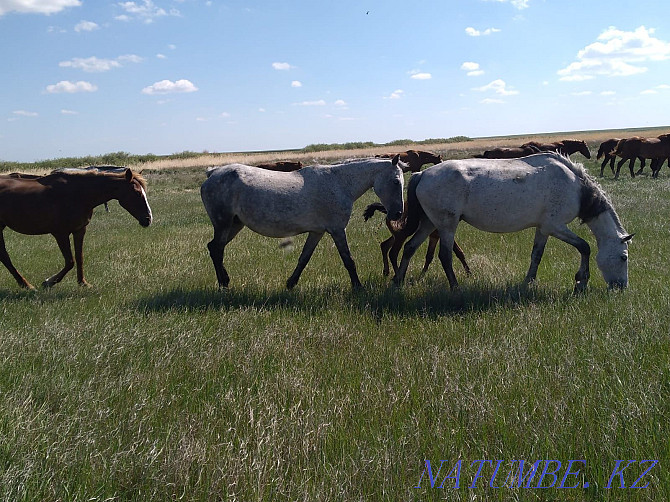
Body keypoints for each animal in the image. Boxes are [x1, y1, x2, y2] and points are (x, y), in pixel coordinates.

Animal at [0, 168, 154, 288]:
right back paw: (27, 285)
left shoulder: (79, 230)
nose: (148, 219)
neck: (78, 194)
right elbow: (70, 261)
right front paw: (49, 281)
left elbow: (79, 257)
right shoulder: (60, 234)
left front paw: (83, 283)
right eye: (137, 192)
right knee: (5, 257)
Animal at [201, 157, 404, 290]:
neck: (339, 183)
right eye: (396, 182)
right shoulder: (338, 230)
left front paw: (290, 284)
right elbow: (348, 260)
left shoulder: (317, 232)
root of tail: (212, 173)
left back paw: (225, 281)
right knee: (217, 249)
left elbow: (304, 258)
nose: (398, 214)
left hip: (235, 225)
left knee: (214, 247)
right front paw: (358, 287)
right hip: (224, 224)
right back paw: (224, 284)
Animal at [394, 155, 636, 292]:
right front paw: (581, 281)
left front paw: (529, 281)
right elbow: (584, 247)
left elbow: (536, 255)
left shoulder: (543, 229)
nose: (621, 287)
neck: (577, 188)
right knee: (444, 256)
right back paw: (455, 288)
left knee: (409, 247)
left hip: (429, 223)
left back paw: (398, 282)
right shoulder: (556, 227)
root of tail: (422, 173)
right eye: (623, 257)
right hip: (446, 226)